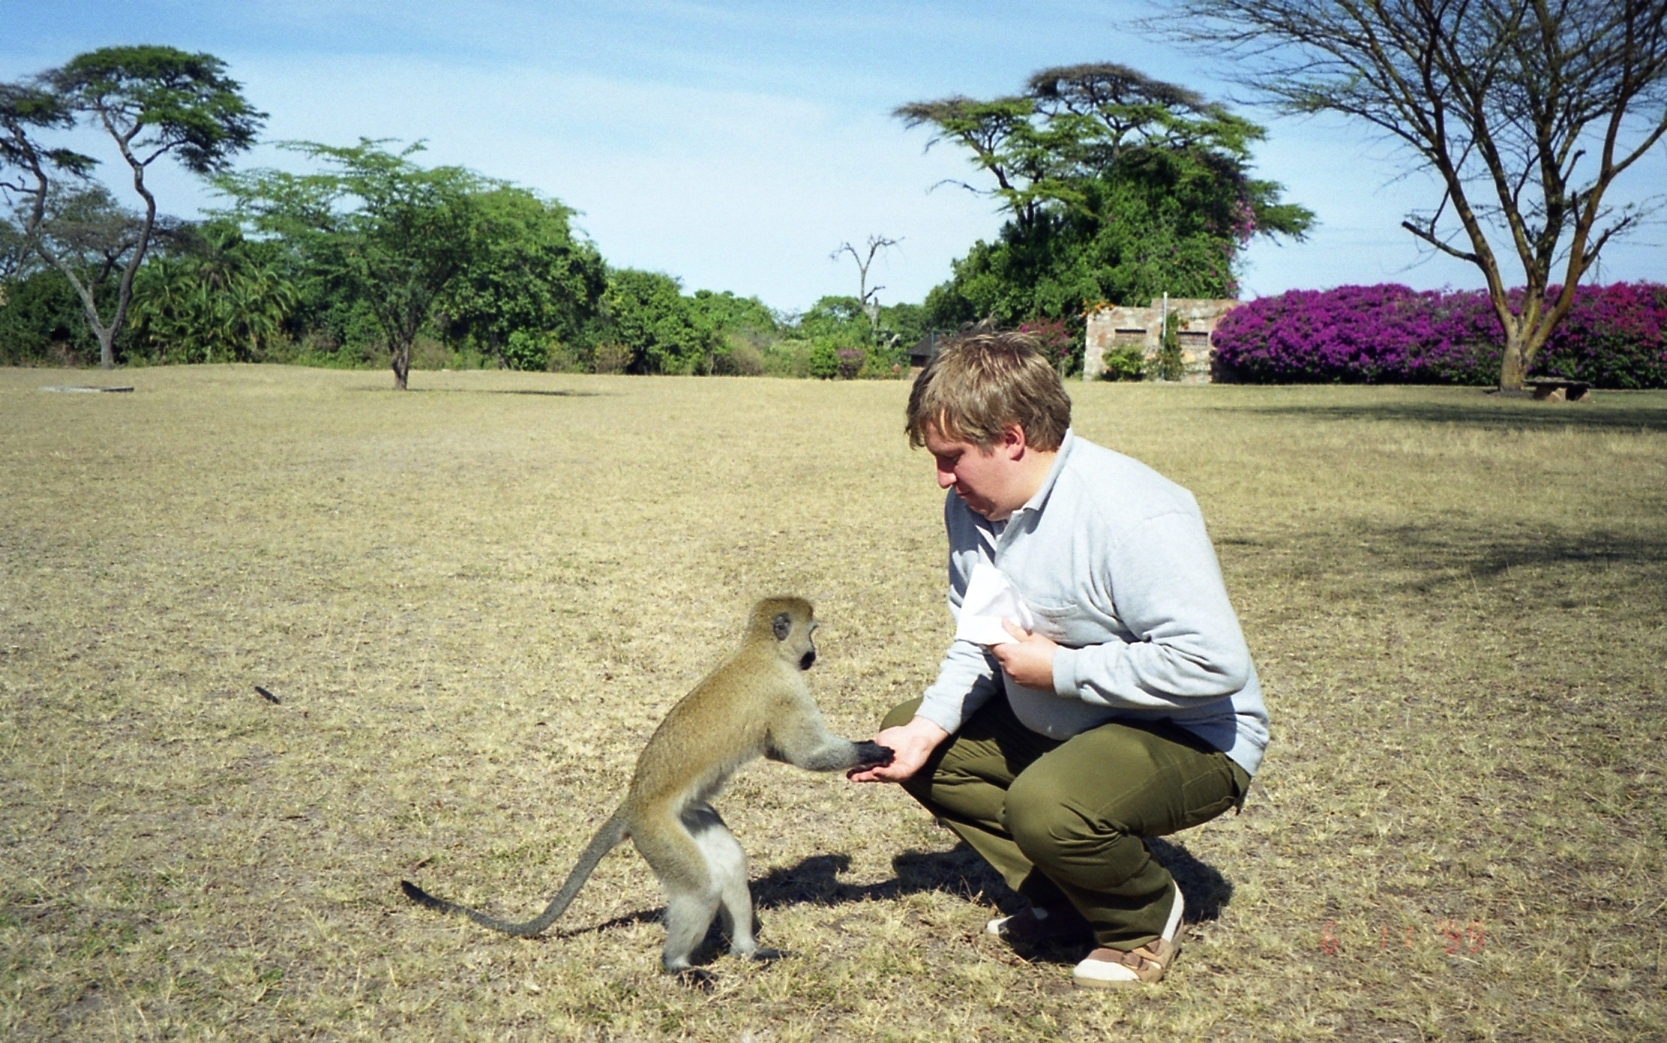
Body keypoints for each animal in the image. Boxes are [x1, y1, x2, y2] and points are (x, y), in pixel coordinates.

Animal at [400, 596, 900, 979]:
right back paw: (677, 965)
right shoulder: (785, 690)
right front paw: (872, 752)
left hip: (689, 817)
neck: (761, 652)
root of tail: (634, 800)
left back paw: (746, 950)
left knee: (729, 866)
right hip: (656, 832)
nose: (814, 653)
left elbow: (782, 753)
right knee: (700, 890)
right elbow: (805, 755)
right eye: (810, 633)